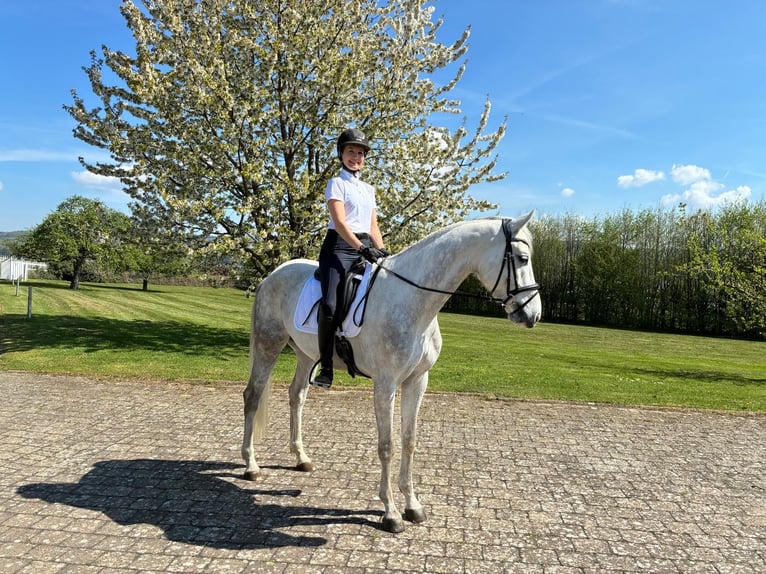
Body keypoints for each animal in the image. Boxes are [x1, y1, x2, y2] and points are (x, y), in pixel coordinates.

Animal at [241, 212, 542, 533]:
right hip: (268, 344)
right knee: (253, 396)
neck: (412, 299)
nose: (533, 314)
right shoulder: (385, 385)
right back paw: (251, 465)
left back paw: (301, 458)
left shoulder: (417, 382)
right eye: (522, 258)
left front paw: (413, 505)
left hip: (306, 355)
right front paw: (391, 512)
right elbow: (387, 446)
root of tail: (273, 275)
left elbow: (409, 441)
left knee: (296, 396)